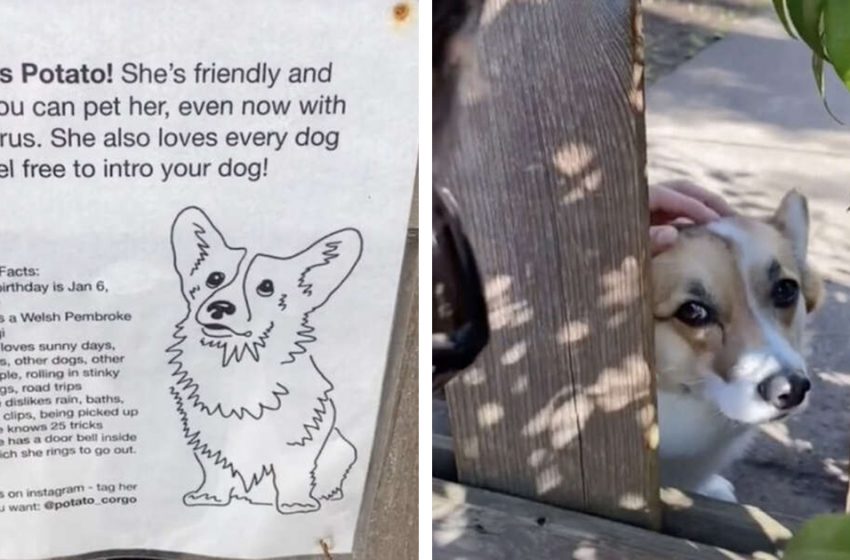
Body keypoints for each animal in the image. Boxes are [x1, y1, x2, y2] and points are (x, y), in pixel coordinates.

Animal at [166, 207, 362, 516]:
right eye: (214, 278)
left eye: (266, 287)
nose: (219, 307)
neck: (239, 362)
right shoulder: (205, 431)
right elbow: (214, 465)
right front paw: (210, 497)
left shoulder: (305, 432)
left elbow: (296, 467)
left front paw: (296, 504)